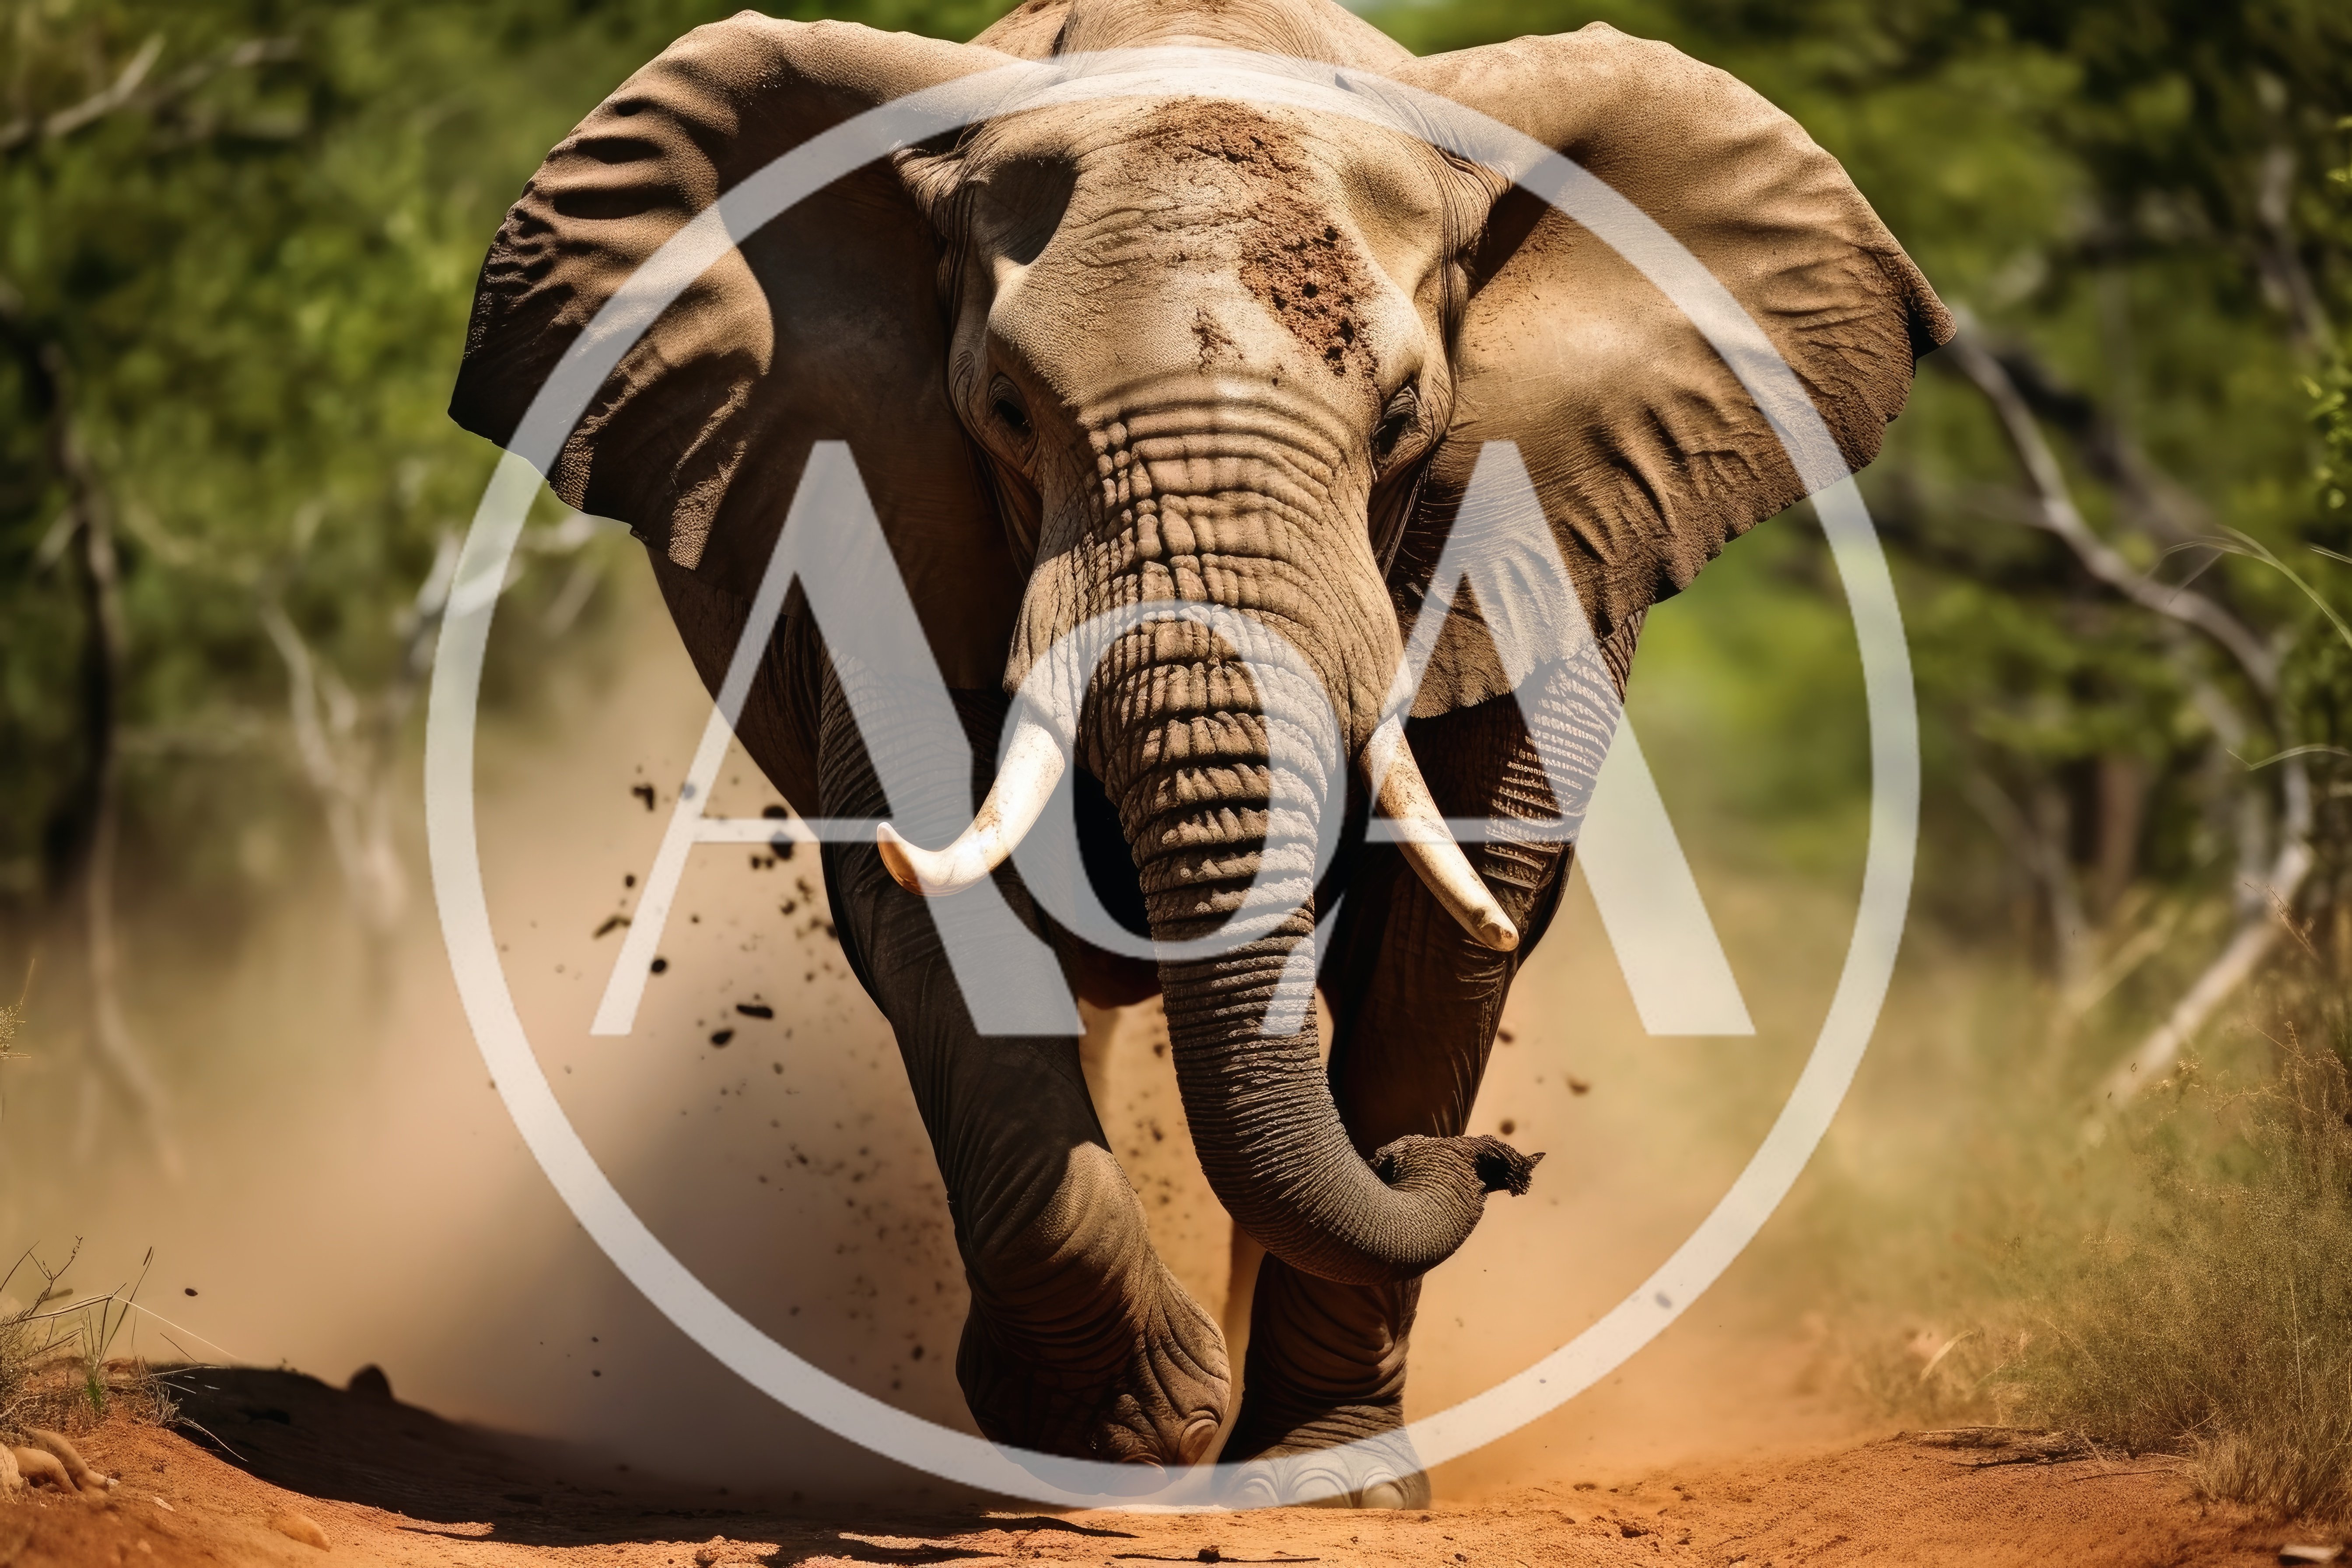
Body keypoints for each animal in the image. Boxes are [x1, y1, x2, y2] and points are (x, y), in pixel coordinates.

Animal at [448, 0, 1950, 1507]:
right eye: (1006, 412)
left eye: (1404, 420)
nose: (1496, 1162)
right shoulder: (867, 501)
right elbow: (932, 913)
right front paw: (1127, 1428)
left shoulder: (1539, 538)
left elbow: (1444, 938)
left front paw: (1328, 1487)